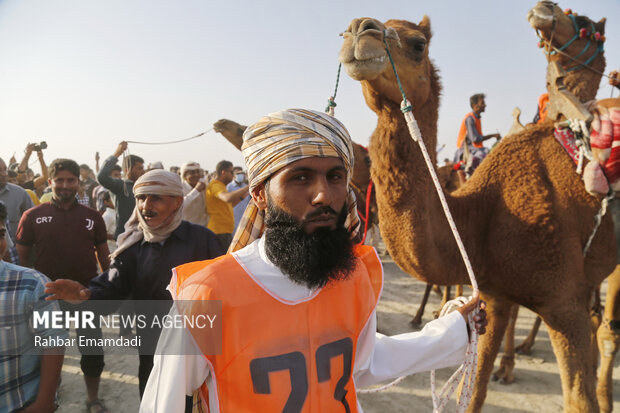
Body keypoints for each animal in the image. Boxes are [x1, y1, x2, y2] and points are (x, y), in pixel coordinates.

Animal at [340, 2, 616, 408]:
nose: (360, 28)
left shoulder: (563, 301)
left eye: (418, 44)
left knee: (605, 327)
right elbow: (473, 393)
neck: (484, 214)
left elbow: (579, 401)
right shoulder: (494, 294)